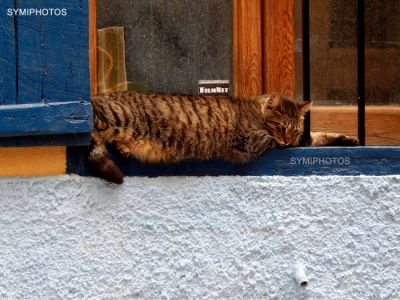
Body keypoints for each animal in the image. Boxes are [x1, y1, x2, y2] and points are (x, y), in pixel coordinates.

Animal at [89, 92, 358, 184]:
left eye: (293, 129)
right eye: (281, 127)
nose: (287, 141)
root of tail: (96, 96)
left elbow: (319, 136)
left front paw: (348, 139)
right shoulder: (253, 140)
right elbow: (302, 141)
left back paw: (123, 148)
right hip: (113, 118)